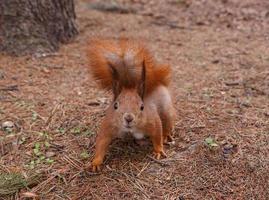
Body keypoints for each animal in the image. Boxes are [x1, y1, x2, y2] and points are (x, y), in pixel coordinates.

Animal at [85, 37, 174, 172]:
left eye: (142, 107)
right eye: (115, 105)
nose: (128, 118)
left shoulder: (153, 121)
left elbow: (157, 135)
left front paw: (158, 150)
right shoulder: (109, 124)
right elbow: (101, 142)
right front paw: (95, 162)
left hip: (165, 108)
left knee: (167, 122)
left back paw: (166, 135)